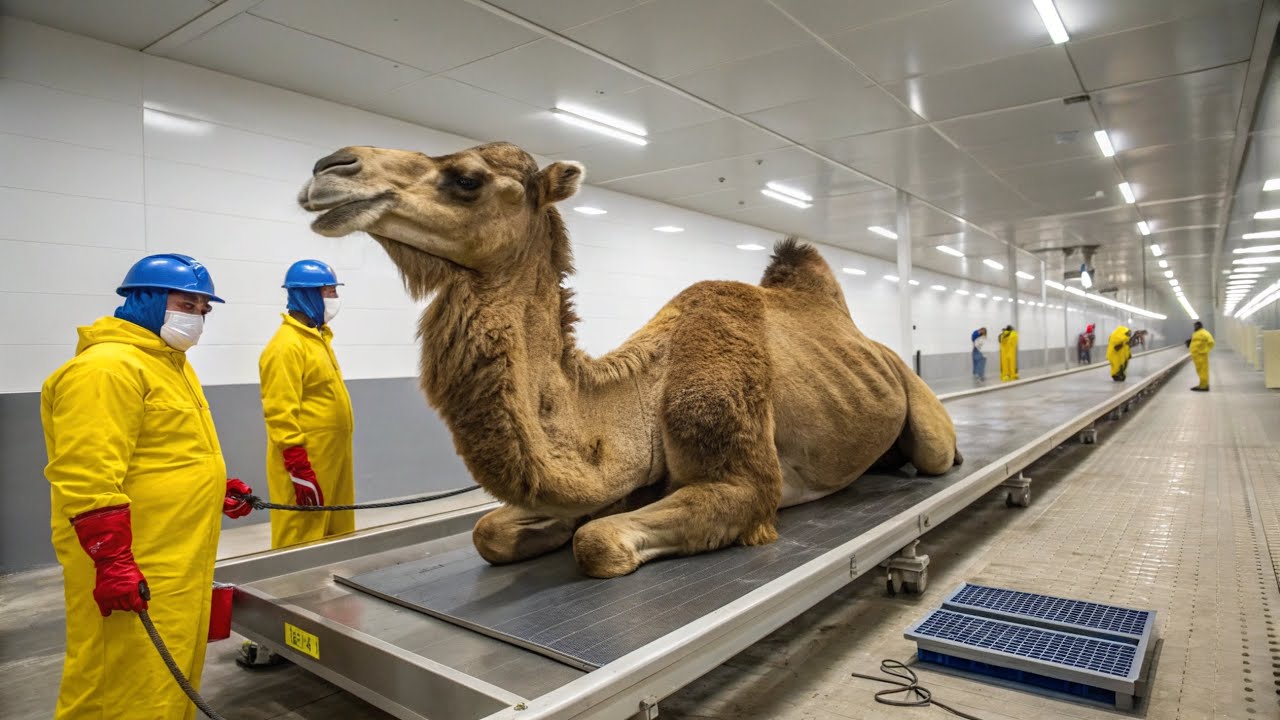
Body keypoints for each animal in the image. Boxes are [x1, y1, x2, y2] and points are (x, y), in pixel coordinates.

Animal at [296, 141, 961, 578]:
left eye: (466, 178)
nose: (329, 167)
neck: (642, 393)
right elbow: (489, 532)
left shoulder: (745, 483)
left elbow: (597, 543)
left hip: (920, 410)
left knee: (934, 451)